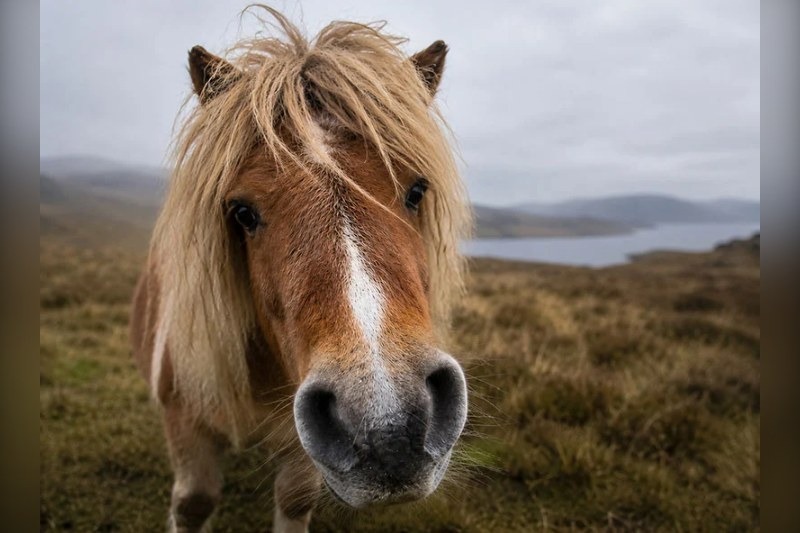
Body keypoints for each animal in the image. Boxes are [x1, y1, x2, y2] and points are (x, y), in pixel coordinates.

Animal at [130, 7, 472, 532]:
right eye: (242, 212)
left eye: (417, 191)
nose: (390, 428)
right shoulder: (185, 417)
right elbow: (194, 503)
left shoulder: (300, 445)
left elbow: (294, 498)